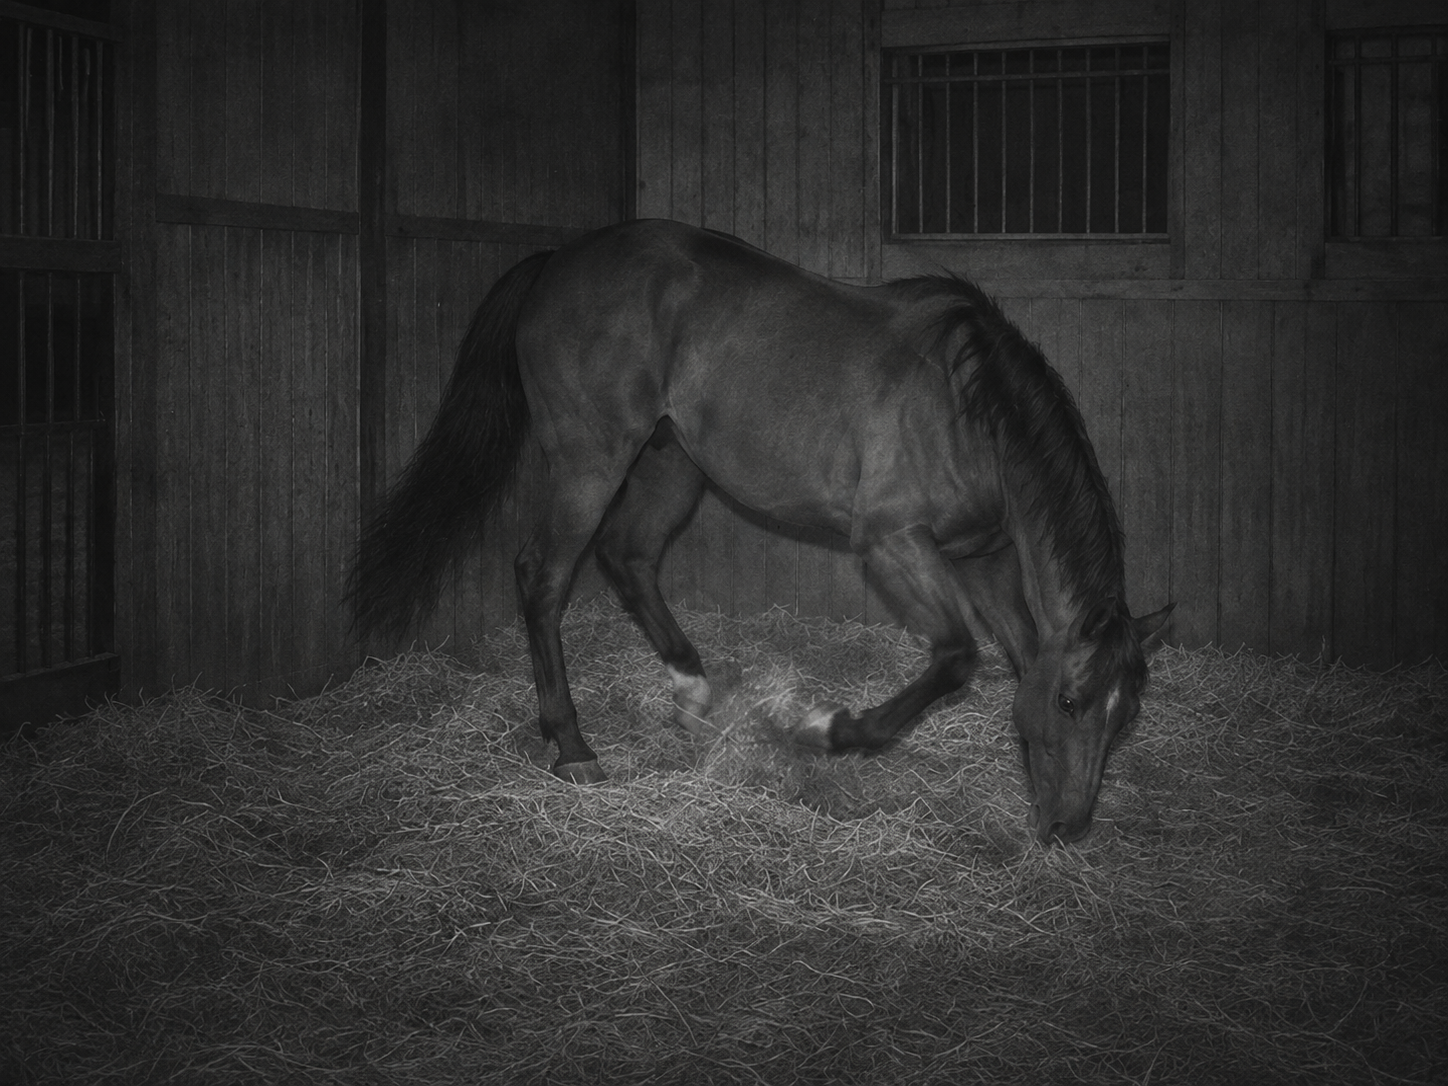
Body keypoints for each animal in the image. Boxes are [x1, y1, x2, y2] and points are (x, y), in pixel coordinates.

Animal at [349, 219, 1172, 846]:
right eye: (1071, 703)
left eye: (1126, 715)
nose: (1069, 827)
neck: (969, 408)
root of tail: (559, 257)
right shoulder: (893, 542)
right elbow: (955, 659)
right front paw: (825, 731)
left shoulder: (986, 559)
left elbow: (1021, 652)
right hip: (592, 459)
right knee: (543, 576)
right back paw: (574, 746)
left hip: (671, 464)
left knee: (628, 557)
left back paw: (693, 691)